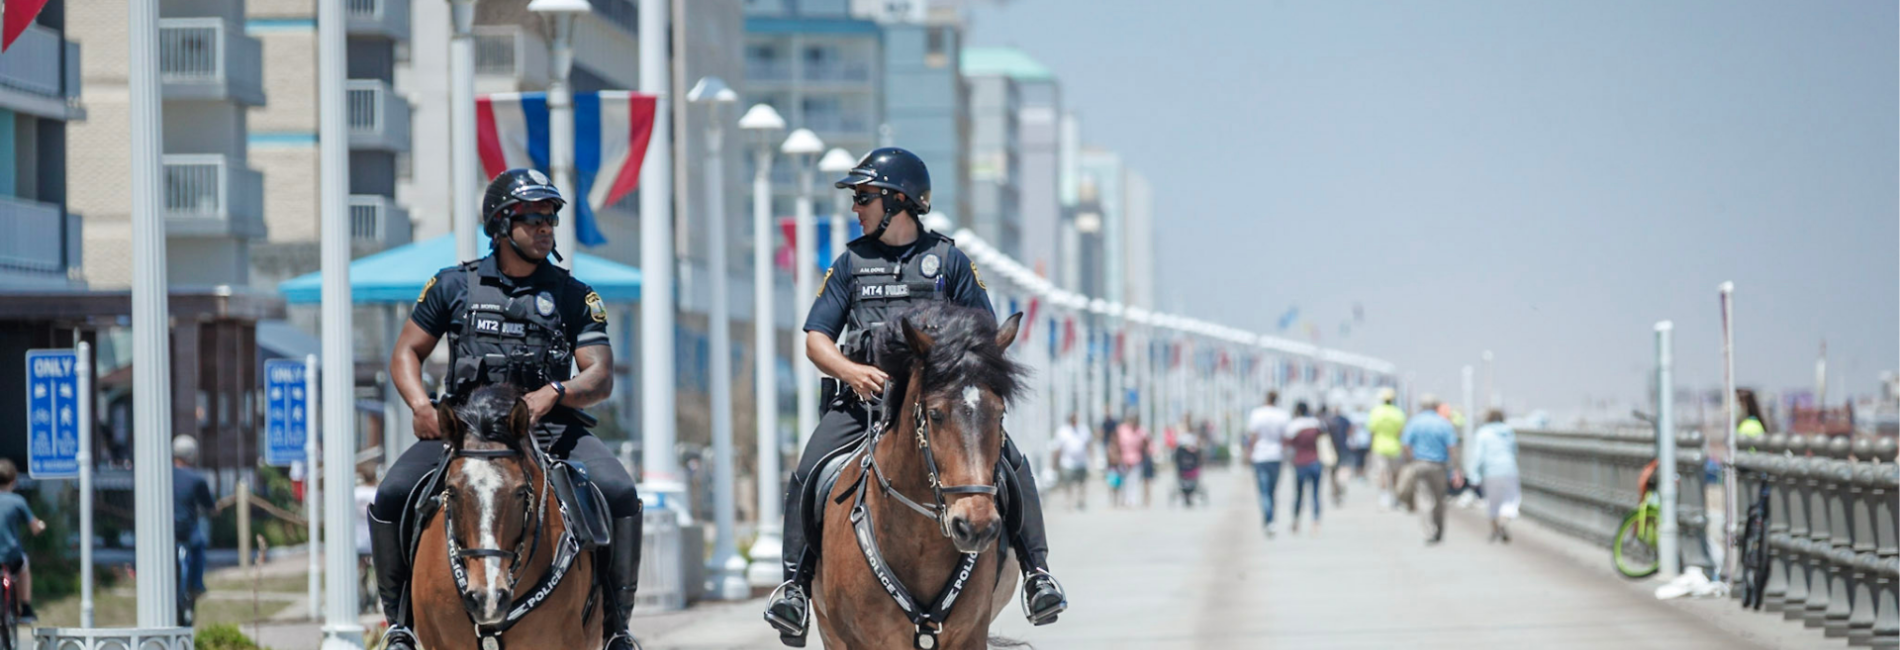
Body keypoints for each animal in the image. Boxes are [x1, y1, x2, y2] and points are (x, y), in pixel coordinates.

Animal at [811, 303, 1030, 650]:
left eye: (999, 414)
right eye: (936, 415)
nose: (976, 526)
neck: (920, 546)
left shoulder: (971, 635)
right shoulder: (860, 640)